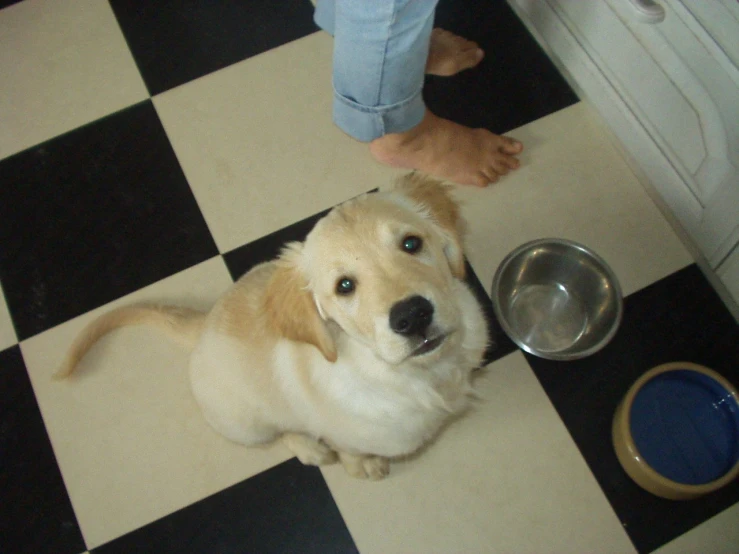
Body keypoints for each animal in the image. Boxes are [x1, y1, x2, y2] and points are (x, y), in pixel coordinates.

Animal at [56, 174, 486, 478]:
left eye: (412, 243)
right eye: (344, 286)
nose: (412, 316)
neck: (421, 374)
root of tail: (205, 322)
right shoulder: (344, 429)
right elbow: (349, 447)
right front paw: (360, 464)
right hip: (245, 424)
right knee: (282, 433)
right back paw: (310, 448)